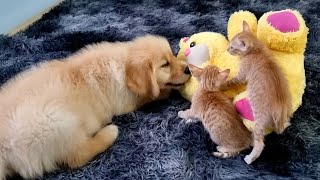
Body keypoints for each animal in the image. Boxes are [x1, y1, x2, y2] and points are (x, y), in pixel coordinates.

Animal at [0, 34, 190, 179]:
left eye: (172, 56)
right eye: (165, 64)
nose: (188, 69)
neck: (122, 64)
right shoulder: (126, 102)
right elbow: (153, 94)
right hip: (57, 122)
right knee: (76, 157)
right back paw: (109, 133)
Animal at [224, 21, 292, 165]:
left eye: (232, 47)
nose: (227, 50)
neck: (256, 50)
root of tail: (280, 107)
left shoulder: (241, 76)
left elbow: (230, 82)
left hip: (258, 120)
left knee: (260, 143)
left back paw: (250, 158)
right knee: (282, 126)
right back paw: (286, 123)